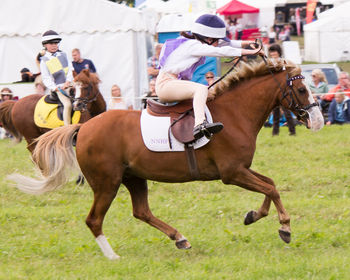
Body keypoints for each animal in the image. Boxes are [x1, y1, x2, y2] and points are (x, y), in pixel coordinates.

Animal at [9, 59, 324, 260]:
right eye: (301, 89)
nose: (318, 120)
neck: (236, 113)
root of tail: (83, 127)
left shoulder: (242, 170)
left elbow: (270, 185)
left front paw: (253, 216)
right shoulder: (232, 173)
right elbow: (271, 188)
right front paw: (285, 228)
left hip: (134, 178)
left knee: (141, 212)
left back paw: (179, 238)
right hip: (107, 183)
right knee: (94, 220)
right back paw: (113, 257)